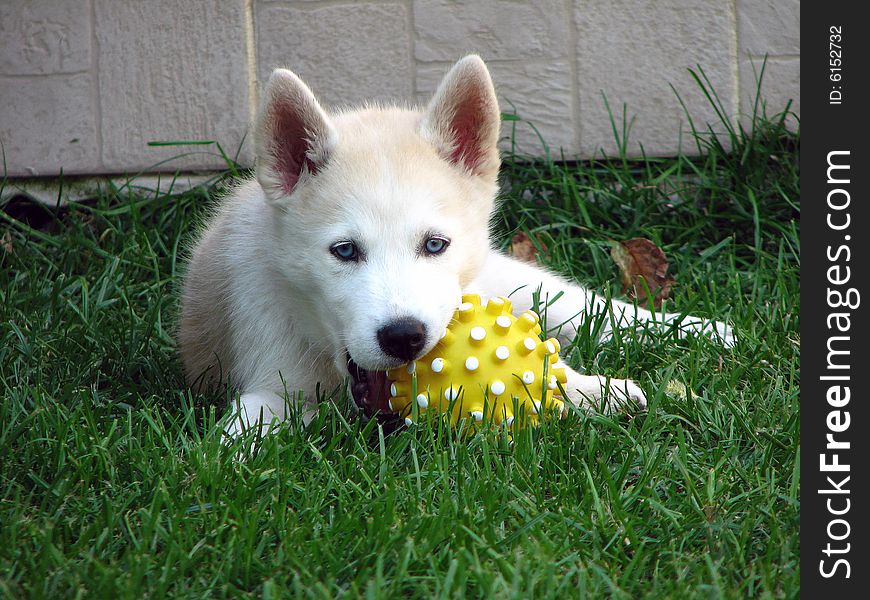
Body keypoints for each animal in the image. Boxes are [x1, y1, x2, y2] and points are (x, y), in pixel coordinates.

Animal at [179, 55, 736, 436]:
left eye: (434, 244)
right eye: (344, 251)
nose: (404, 337)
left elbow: (549, 361)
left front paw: (594, 389)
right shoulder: (273, 376)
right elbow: (249, 424)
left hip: (503, 279)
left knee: (583, 305)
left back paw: (701, 329)